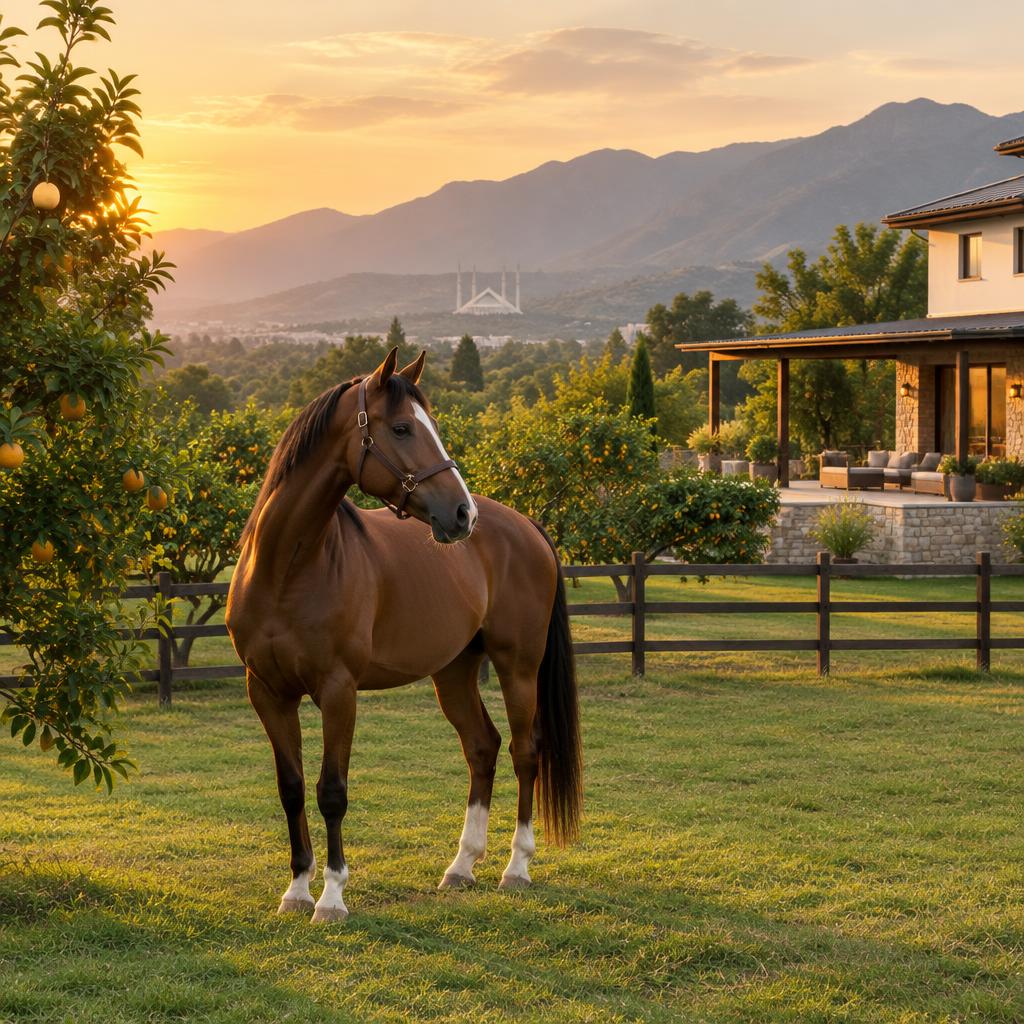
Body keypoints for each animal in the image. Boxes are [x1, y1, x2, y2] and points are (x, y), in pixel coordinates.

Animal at [225, 346, 582, 922]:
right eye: (400, 428)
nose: (462, 513)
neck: (287, 569)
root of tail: (525, 525)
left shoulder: (338, 692)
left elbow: (332, 791)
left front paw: (332, 897)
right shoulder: (267, 692)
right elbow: (292, 788)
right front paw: (296, 890)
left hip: (518, 666)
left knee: (525, 752)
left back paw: (516, 868)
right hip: (454, 672)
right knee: (482, 748)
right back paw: (462, 867)